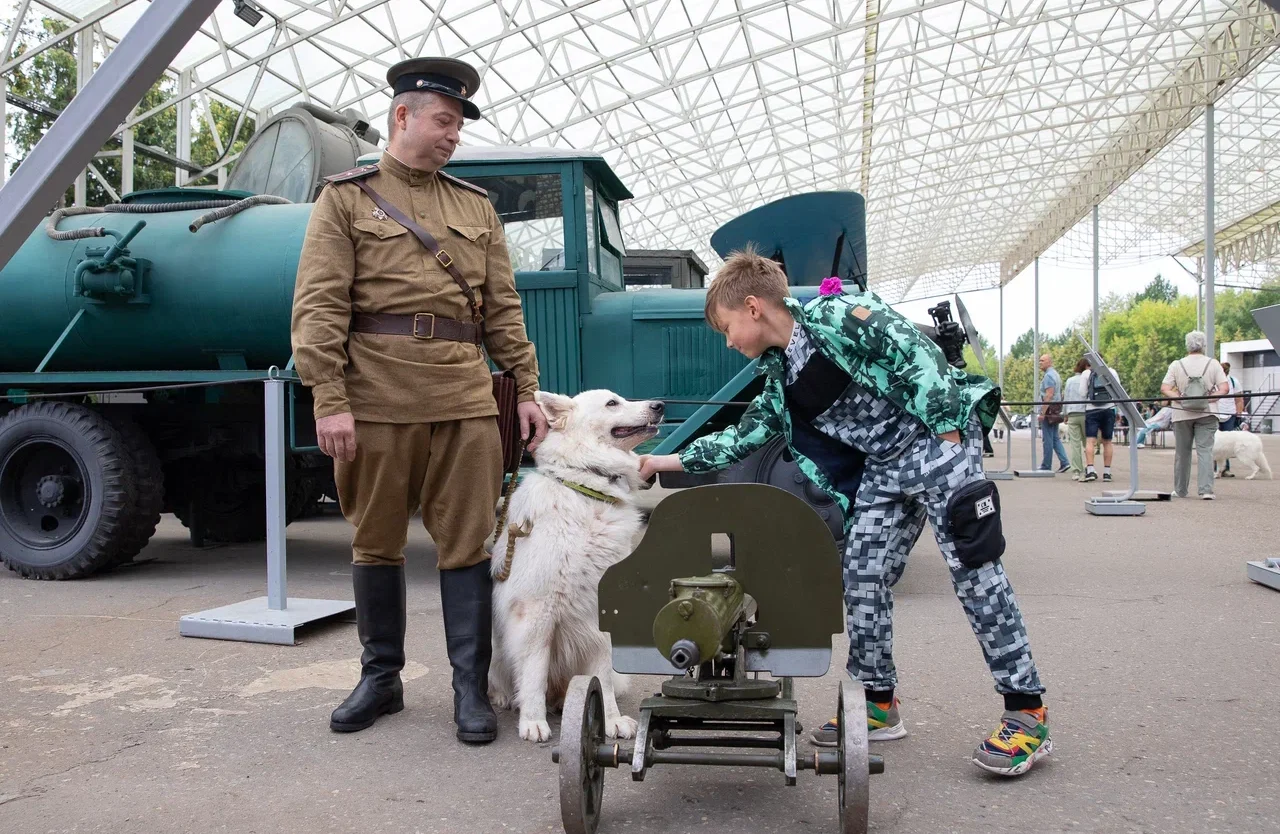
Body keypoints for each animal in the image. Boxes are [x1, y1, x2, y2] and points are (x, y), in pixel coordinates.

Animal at [486, 388, 665, 741]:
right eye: (612, 403)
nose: (660, 405)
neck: (588, 488)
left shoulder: (603, 617)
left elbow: (603, 678)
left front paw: (610, 720)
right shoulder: (536, 614)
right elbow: (534, 672)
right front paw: (533, 721)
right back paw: (505, 697)